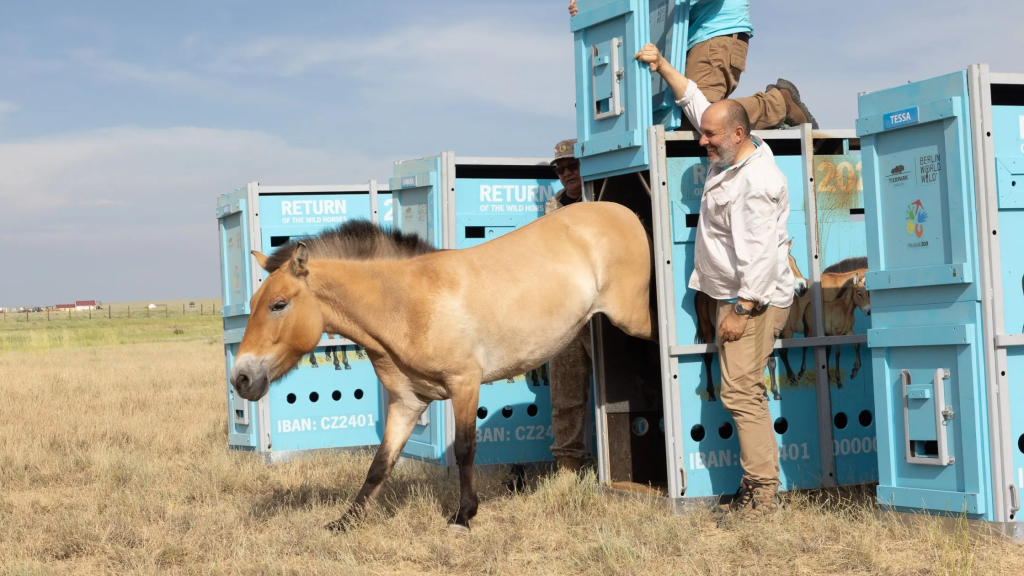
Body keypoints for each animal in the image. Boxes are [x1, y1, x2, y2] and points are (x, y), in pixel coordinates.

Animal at [228, 201, 651, 528]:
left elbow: (464, 449)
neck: (407, 304)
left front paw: (464, 515)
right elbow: (381, 462)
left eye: (278, 304)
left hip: (635, 320)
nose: (241, 378)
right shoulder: (407, 403)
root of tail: (623, 212)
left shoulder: (465, 383)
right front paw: (345, 521)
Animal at [696, 237, 806, 399]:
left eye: (795, 260)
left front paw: (773, 392)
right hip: (707, 328)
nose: (803, 287)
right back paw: (711, 393)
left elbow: (770, 361)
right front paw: (765, 392)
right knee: (708, 357)